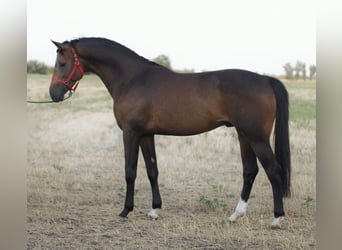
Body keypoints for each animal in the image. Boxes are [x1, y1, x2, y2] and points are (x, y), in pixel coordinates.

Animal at [49, 37, 290, 229]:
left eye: (62, 63)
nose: (53, 94)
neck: (132, 79)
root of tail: (265, 79)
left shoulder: (130, 133)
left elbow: (130, 172)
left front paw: (126, 211)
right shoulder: (146, 135)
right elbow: (152, 171)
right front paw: (154, 210)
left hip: (256, 137)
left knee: (273, 169)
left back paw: (277, 219)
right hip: (243, 134)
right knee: (250, 170)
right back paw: (235, 215)